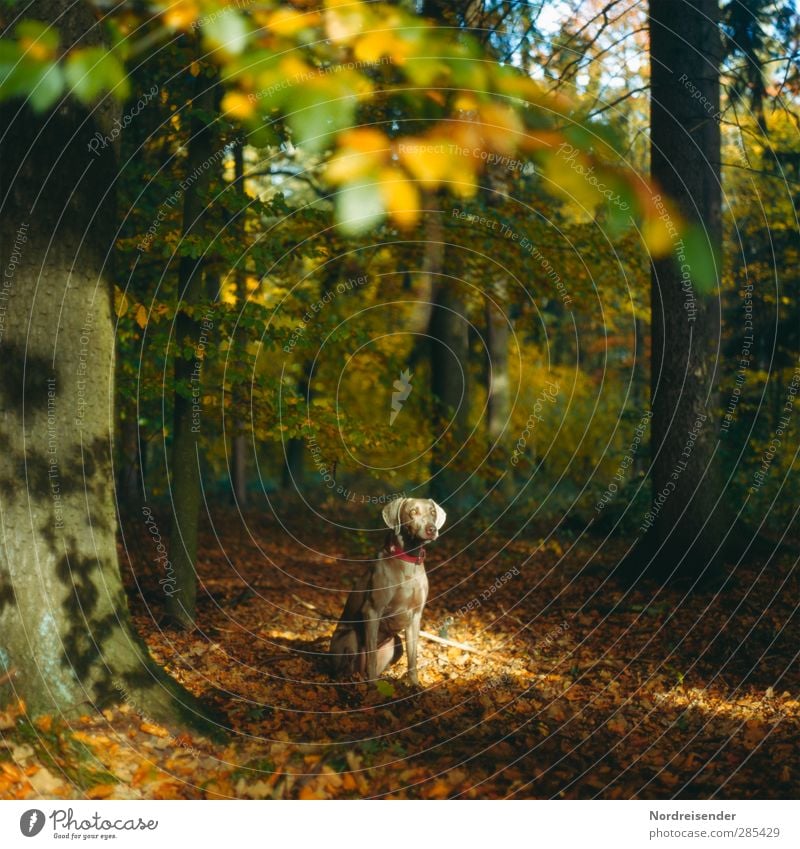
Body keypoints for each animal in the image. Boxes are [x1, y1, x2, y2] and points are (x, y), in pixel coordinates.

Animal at [328, 496, 446, 684]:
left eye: (433, 512)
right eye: (413, 511)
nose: (431, 529)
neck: (408, 561)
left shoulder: (415, 616)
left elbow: (413, 658)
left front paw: (415, 685)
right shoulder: (372, 611)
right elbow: (372, 658)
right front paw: (374, 687)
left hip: (396, 644)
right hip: (350, 637)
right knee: (343, 669)